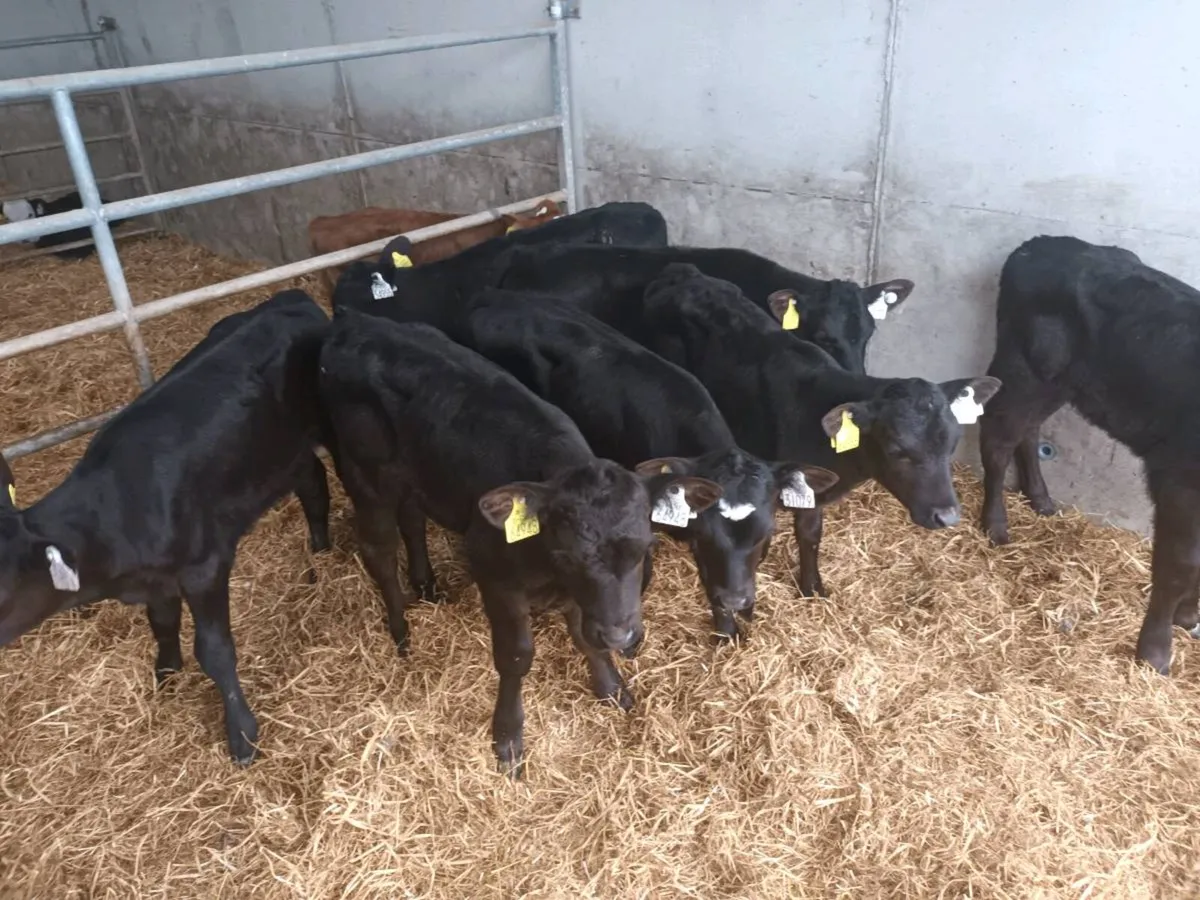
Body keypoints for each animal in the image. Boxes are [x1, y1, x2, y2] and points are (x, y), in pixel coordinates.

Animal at [0, 289, 333, 765]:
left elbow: (214, 651)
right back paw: (320, 548)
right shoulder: (154, 581)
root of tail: (291, 295)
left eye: (3, 591)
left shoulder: (204, 568)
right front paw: (167, 675)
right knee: (313, 483)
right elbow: (161, 624)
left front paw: (242, 734)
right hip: (283, 455)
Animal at [318, 306, 721, 775]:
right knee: (379, 552)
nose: (621, 637)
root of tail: (356, 320)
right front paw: (508, 736)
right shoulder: (495, 577)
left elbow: (584, 636)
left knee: (413, 520)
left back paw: (426, 585)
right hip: (366, 477)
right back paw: (401, 632)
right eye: (567, 556)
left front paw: (610, 685)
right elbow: (516, 657)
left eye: (645, 550)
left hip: (419, 475)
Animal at [627, 263, 1000, 597]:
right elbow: (804, 534)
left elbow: (813, 535)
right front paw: (807, 586)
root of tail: (680, 272)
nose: (947, 516)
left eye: (951, 445)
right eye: (897, 449)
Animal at [979, 235, 1200, 676]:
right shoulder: (1178, 479)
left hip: (1057, 383)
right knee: (998, 437)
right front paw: (1155, 651)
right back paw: (995, 524)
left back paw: (1040, 498)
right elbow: (1180, 564)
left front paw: (1187, 617)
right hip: (1025, 370)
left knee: (1028, 431)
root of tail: (1039, 245)